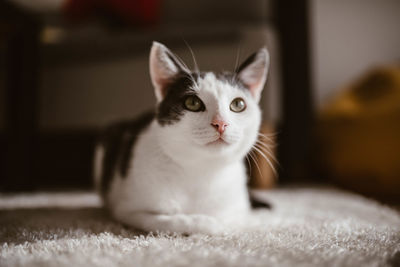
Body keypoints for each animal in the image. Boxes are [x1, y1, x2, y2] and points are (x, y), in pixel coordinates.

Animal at [94, 41, 272, 234]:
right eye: (192, 103)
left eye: (238, 104)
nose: (221, 123)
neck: (204, 172)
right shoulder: (128, 210)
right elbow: (172, 220)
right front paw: (209, 223)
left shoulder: (239, 208)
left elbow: (234, 217)